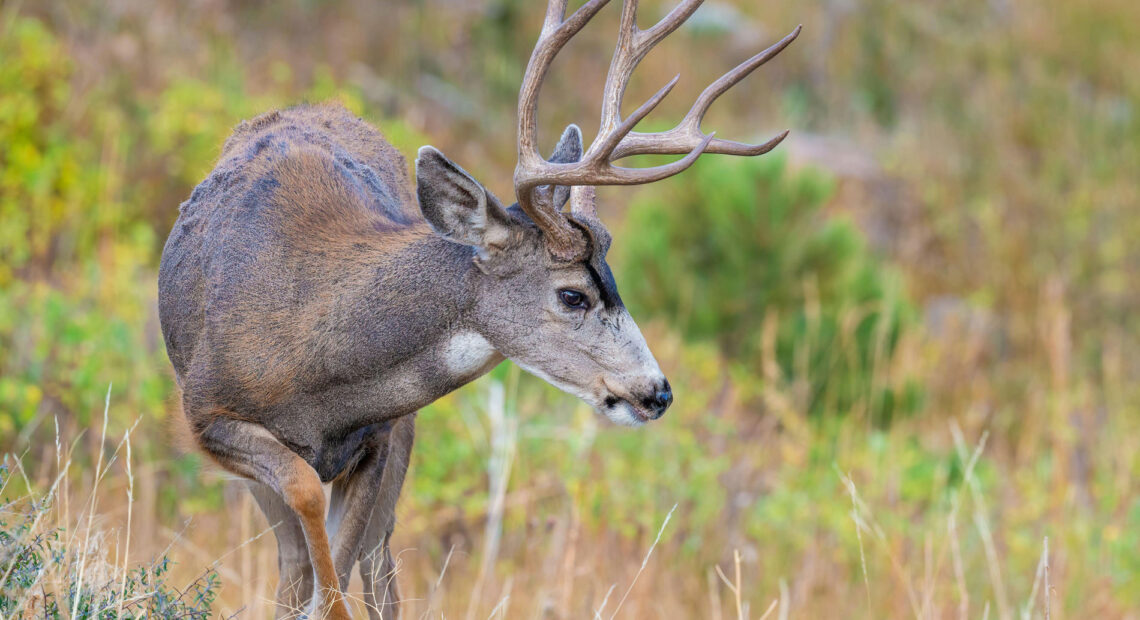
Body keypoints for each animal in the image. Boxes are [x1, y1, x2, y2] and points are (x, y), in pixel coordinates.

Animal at [158, 0, 802, 615]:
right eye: (573, 294)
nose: (658, 392)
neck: (313, 360)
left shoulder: (382, 435)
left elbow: (342, 564)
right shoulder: (207, 414)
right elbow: (306, 509)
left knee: (376, 556)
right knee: (296, 561)